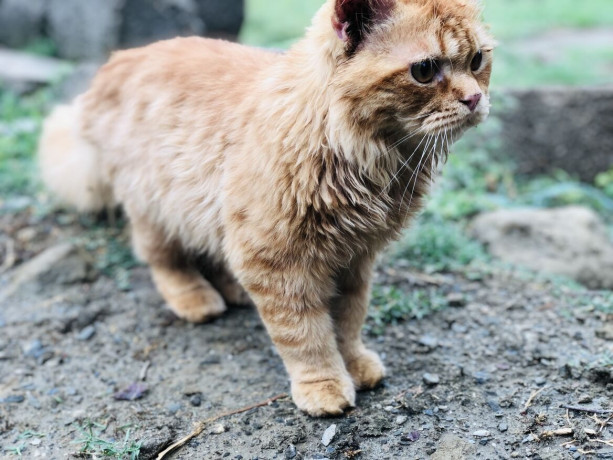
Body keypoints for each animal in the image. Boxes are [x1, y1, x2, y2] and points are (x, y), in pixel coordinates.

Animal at [39, 0, 492, 416]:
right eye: (424, 70)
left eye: (477, 60)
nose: (475, 99)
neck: (370, 159)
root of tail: (116, 62)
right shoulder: (277, 261)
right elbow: (306, 336)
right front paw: (324, 384)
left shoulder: (356, 258)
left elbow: (348, 321)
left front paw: (354, 363)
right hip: (156, 209)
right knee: (164, 260)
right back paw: (196, 298)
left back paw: (233, 289)